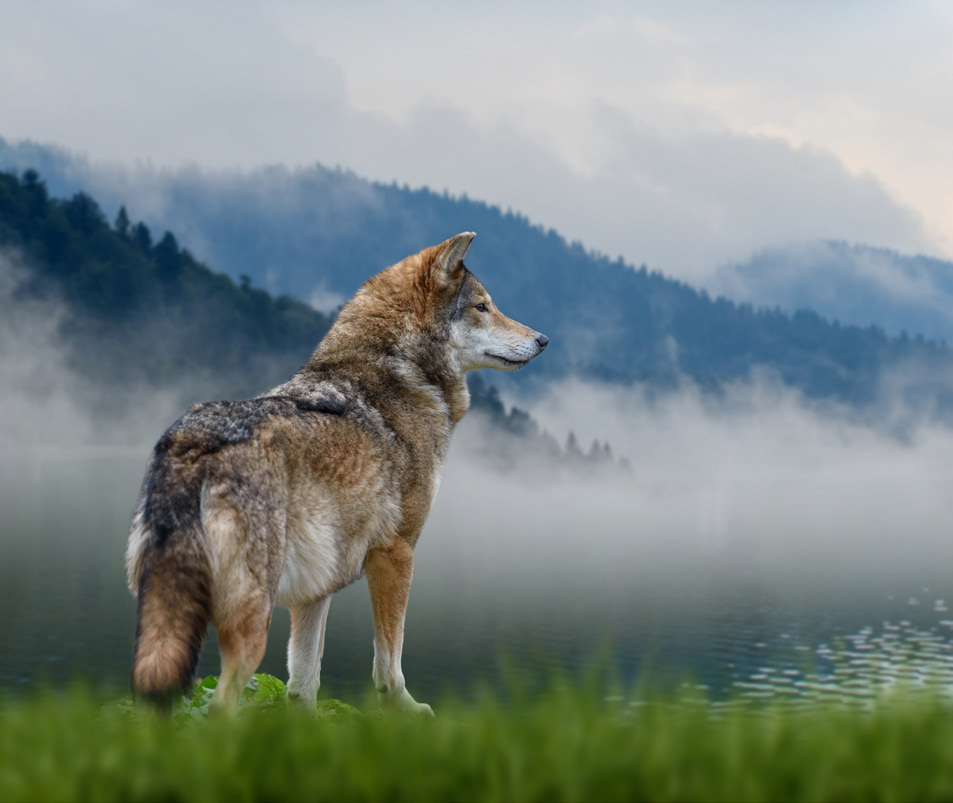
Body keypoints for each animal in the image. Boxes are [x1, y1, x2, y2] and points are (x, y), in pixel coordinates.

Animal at [125, 232, 548, 715]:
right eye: (482, 306)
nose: (543, 339)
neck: (398, 372)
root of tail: (192, 443)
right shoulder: (396, 553)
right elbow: (389, 662)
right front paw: (407, 711)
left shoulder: (317, 585)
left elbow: (304, 681)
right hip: (251, 624)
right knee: (220, 707)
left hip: (165, 622)